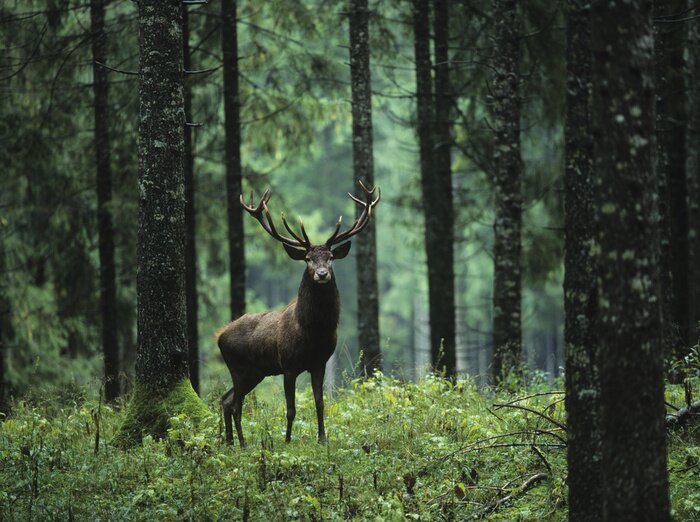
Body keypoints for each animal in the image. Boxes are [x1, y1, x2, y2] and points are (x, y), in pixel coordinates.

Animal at [217, 182, 381, 446]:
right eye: (307, 259)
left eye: (331, 257)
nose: (322, 274)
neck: (313, 332)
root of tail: (219, 336)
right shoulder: (289, 365)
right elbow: (290, 408)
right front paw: (286, 440)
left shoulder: (319, 362)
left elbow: (320, 402)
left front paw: (322, 438)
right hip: (238, 367)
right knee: (235, 404)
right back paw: (241, 443)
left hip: (256, 372)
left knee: (226, 399)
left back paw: (231, 442)